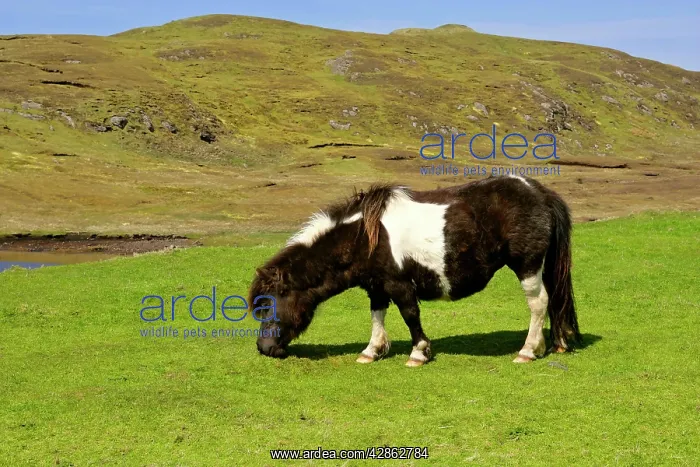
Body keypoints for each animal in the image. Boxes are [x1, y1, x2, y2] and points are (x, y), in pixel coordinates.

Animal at [249, 175, 580, 366]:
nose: (264, 348)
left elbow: (410, 316)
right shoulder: (377, 286)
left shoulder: (400, 284)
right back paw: (554, 344)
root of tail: (541, 193)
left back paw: (528, 350)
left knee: (539, 303)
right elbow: (377, 316)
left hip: (528, 265)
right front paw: (372, 351)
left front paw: (419, 353)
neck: (364, 236)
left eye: (269, 304)